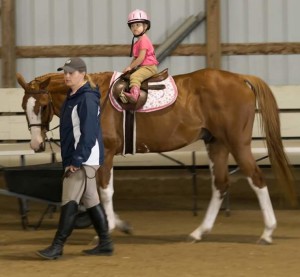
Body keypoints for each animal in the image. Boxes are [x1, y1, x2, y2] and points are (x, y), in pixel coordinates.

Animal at [17, 68, 298, 242]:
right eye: (23, 107)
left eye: (43, 106)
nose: (36, 144)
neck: (94, 98)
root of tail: (240, 78)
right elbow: (93, 192)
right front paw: (119, 225)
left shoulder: (105, 153)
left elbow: (104, 191)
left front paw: (108, 228)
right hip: (217, 143)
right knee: (220, 184)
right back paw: (199, 232)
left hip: (237, 143)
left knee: (256, 179)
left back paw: (267, 232)